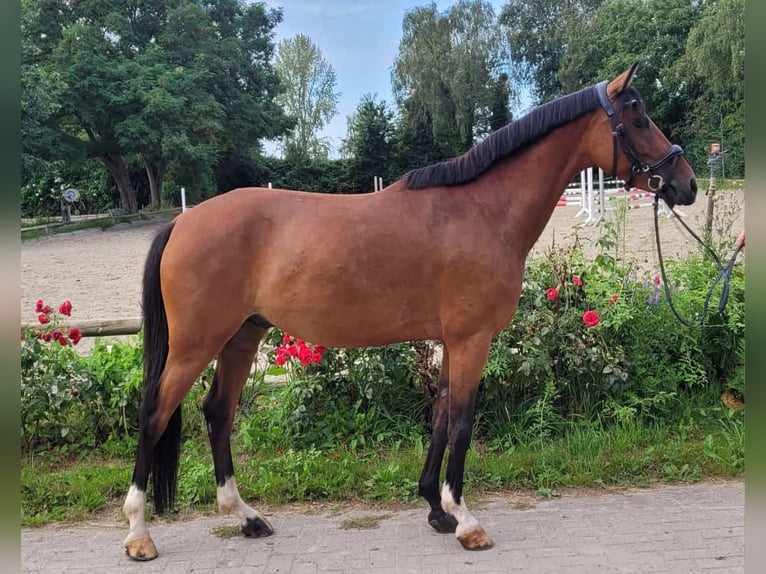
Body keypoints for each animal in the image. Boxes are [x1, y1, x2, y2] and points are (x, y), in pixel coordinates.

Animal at [123, 64, 700, 564]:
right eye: (638, 116)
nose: (687, 183)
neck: (482, 210)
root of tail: (183, 221)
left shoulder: (452, 340)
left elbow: (441, 417)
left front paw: (436, 510)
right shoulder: (472, 339)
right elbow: (462, 423)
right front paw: (465, 521)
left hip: (241, 336)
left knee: (218, 412)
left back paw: (245, 516)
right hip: (196, 343)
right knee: (154, 415)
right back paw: (138, 534)